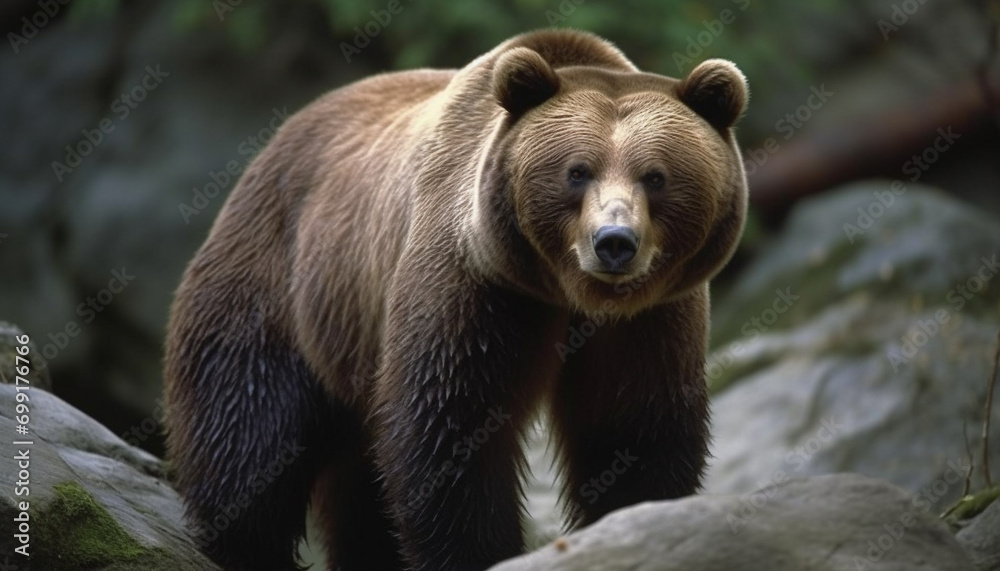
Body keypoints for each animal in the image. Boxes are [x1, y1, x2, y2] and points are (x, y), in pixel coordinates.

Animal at [164, 29, 749, 571]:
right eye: (577, 171)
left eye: (656, 176)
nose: (614, 242)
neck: (563, 291)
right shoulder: (473, 281)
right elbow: (450, 426)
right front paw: (483, 552)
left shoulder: (648, 319)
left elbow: (633, 425)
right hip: (279, 282)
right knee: (250, 428)